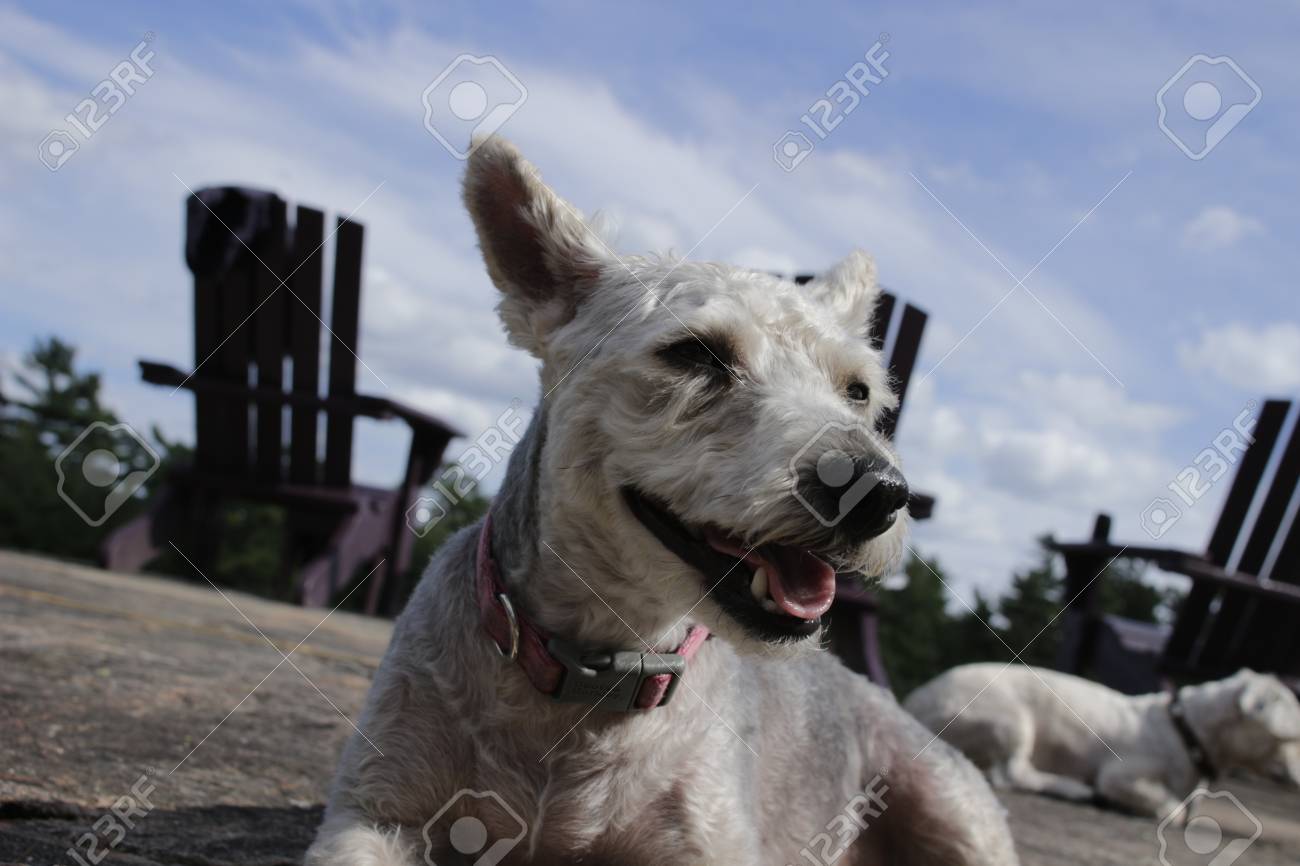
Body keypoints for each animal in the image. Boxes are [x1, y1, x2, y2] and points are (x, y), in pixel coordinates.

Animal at [301, 138, 1013, 858]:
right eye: (695, 355)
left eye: (859, 391)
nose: (877, 492)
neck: (603, 660)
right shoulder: (373, 808)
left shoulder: (711, 839)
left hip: (953, 803)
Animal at [904, 660, 1300, 816]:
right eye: (1291, 738)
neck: (1184, 729)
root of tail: (916, 700)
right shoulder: (1120, 774)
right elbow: (1168, 807)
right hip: (1012, 719)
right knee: (1011, 773)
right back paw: (1073, 789)